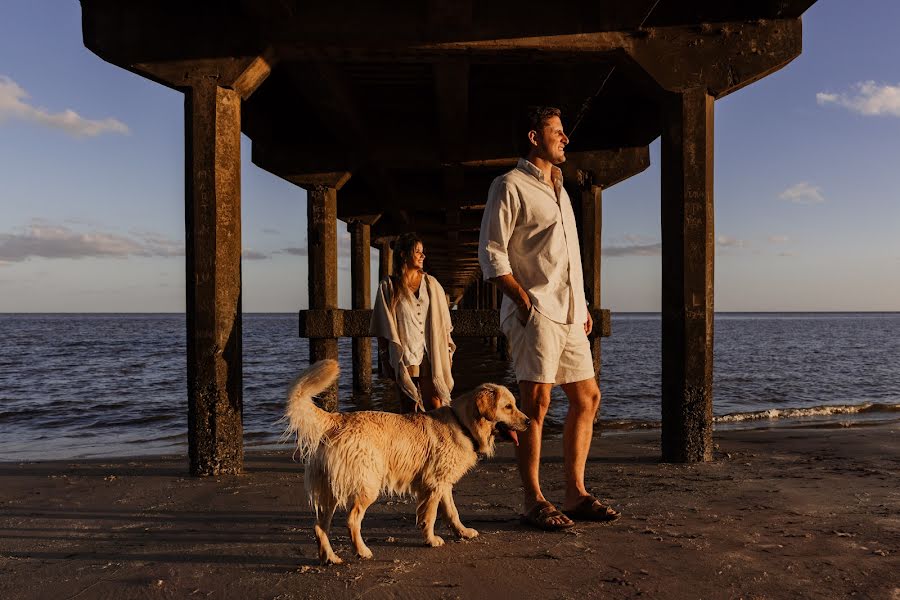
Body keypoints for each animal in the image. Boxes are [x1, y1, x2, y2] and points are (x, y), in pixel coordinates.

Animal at [284, 358, 532, 564]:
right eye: (508, 407)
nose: (529, 422)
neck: (463, 424)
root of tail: (336, 419)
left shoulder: (443, 483)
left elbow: (452, 511)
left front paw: (462, 532)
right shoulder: (434, 484)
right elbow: (430, 515)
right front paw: (431, 540)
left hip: (330, 490)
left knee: (319, 526)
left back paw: (330, 557)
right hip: (366, 485)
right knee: (351, 520)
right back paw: (362, 551)